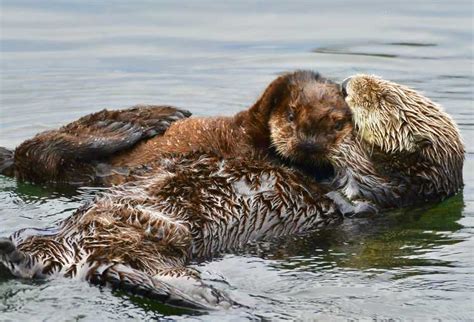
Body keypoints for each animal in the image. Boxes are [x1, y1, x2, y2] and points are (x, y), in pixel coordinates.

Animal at [0, 71, 352, 185]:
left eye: (338, 123)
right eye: (291, 115)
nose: (308, 143)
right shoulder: (246, 126)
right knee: (37, 148)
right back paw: (146, 121)